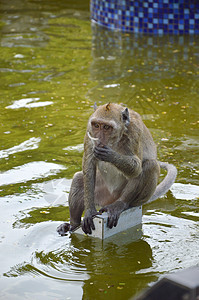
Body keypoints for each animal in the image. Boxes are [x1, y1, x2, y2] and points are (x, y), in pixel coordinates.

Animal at [57, 102, 177, 234]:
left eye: (106, 127)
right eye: (96, 125)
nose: (99, 139)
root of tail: (110, 200)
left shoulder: (135, 132)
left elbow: (136, 168)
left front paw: (110, 155)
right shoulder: (89, 133)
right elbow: (88, 165)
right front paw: (89, 211)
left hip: (134, 199)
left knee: (150, 165)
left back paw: (120, 204)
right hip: (101, 193)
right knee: (79, 178)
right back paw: (72, 226)